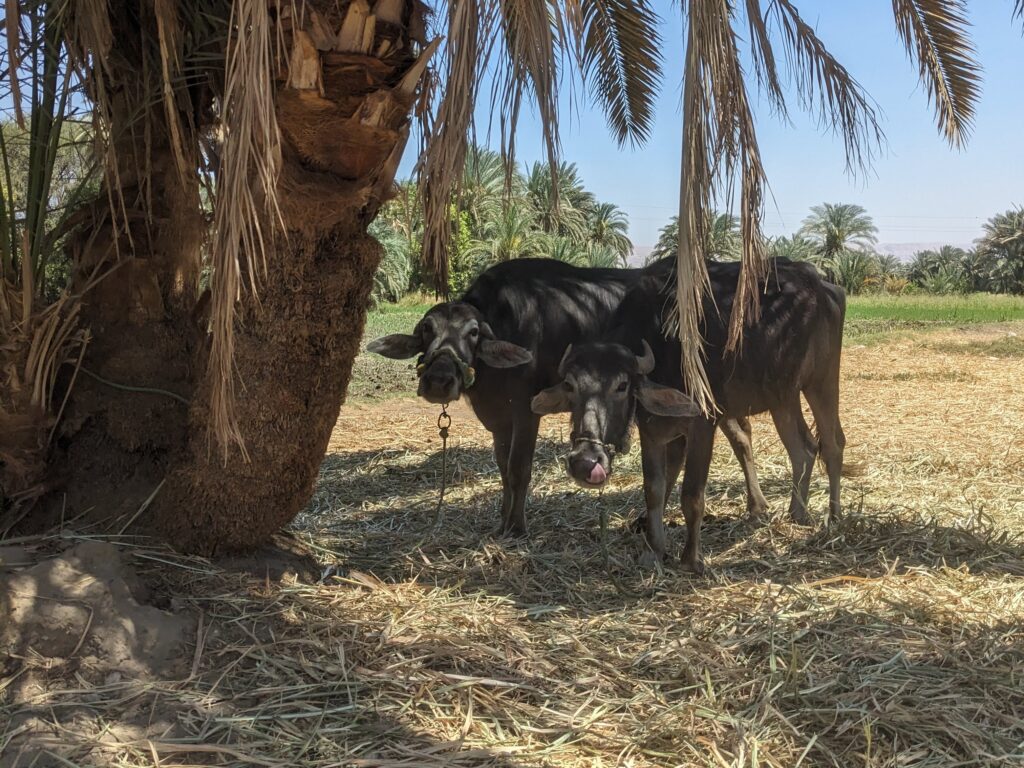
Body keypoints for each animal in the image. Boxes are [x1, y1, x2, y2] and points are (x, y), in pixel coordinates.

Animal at [366, 257, 774, 538]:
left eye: (472, 332)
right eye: (426, 329)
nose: (439, 380)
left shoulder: (526, 410)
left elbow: (519, 469)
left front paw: (516, 526)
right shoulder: (499, 419)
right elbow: (502, 469)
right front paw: (501, 519)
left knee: (734, 436)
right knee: (738, 435)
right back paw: (751, 507)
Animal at [531, 258, 847, 573]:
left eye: (621, 385)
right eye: (570, 385)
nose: (585, 463)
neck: (665, 348)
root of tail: (824, 288)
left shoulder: (703, 426)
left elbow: (692, 495)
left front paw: (691, 557)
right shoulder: (651, 433)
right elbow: (654, 490)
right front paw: (653, 551)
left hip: (821, 381)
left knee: (833, 444)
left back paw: (833, 519)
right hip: (783, 396)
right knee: (803, 449)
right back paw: (797, 513)